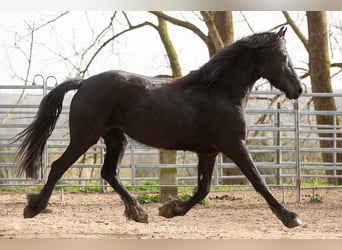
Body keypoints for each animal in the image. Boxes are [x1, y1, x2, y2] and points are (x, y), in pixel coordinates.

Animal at [15, 27, 302, 229]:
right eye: (282, 56)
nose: (298, 90)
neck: (219, 92)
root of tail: (84, 82)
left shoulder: (209, 152)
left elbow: (203, 189)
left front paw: (170, 210)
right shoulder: (234, 145)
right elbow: (259, 182)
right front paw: (290, 217)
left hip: (116, 138)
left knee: (109, 173)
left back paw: (139, 212)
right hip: (85, 137)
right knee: (59, 166)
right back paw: (34, 207)